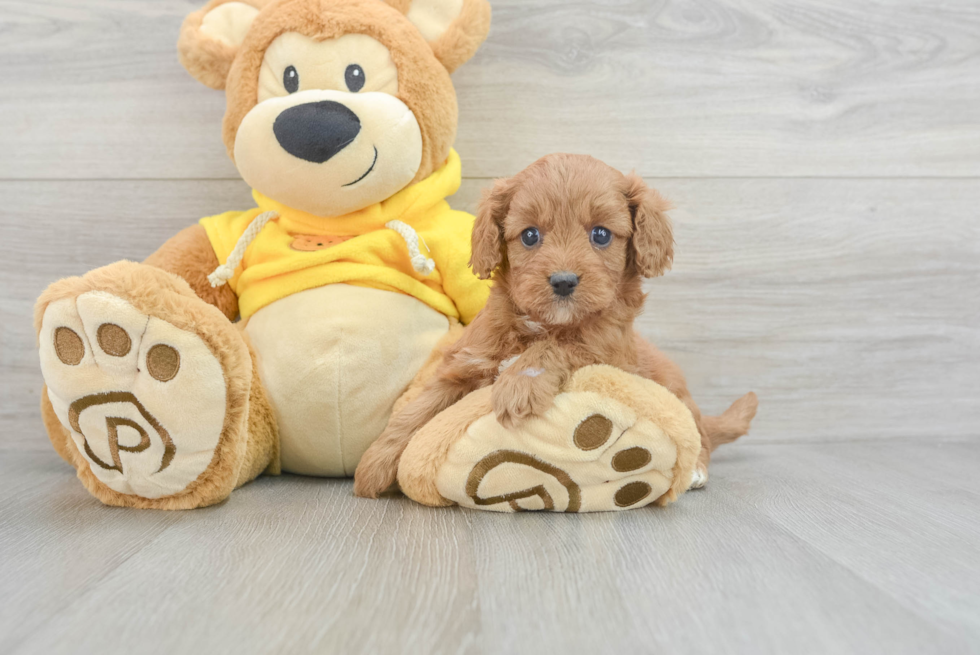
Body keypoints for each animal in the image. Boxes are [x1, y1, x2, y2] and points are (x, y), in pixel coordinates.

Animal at [356, 154, 760, 500]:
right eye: (530, 235)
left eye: (601, 234)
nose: (564, 282)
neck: (540, 324)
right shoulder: (465, 364)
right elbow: (417, 410)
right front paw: (374, 464)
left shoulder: (603, 348)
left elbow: (558, 347)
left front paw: (518, 385)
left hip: (678, 396)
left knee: (698, 435)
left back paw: (696, 471)